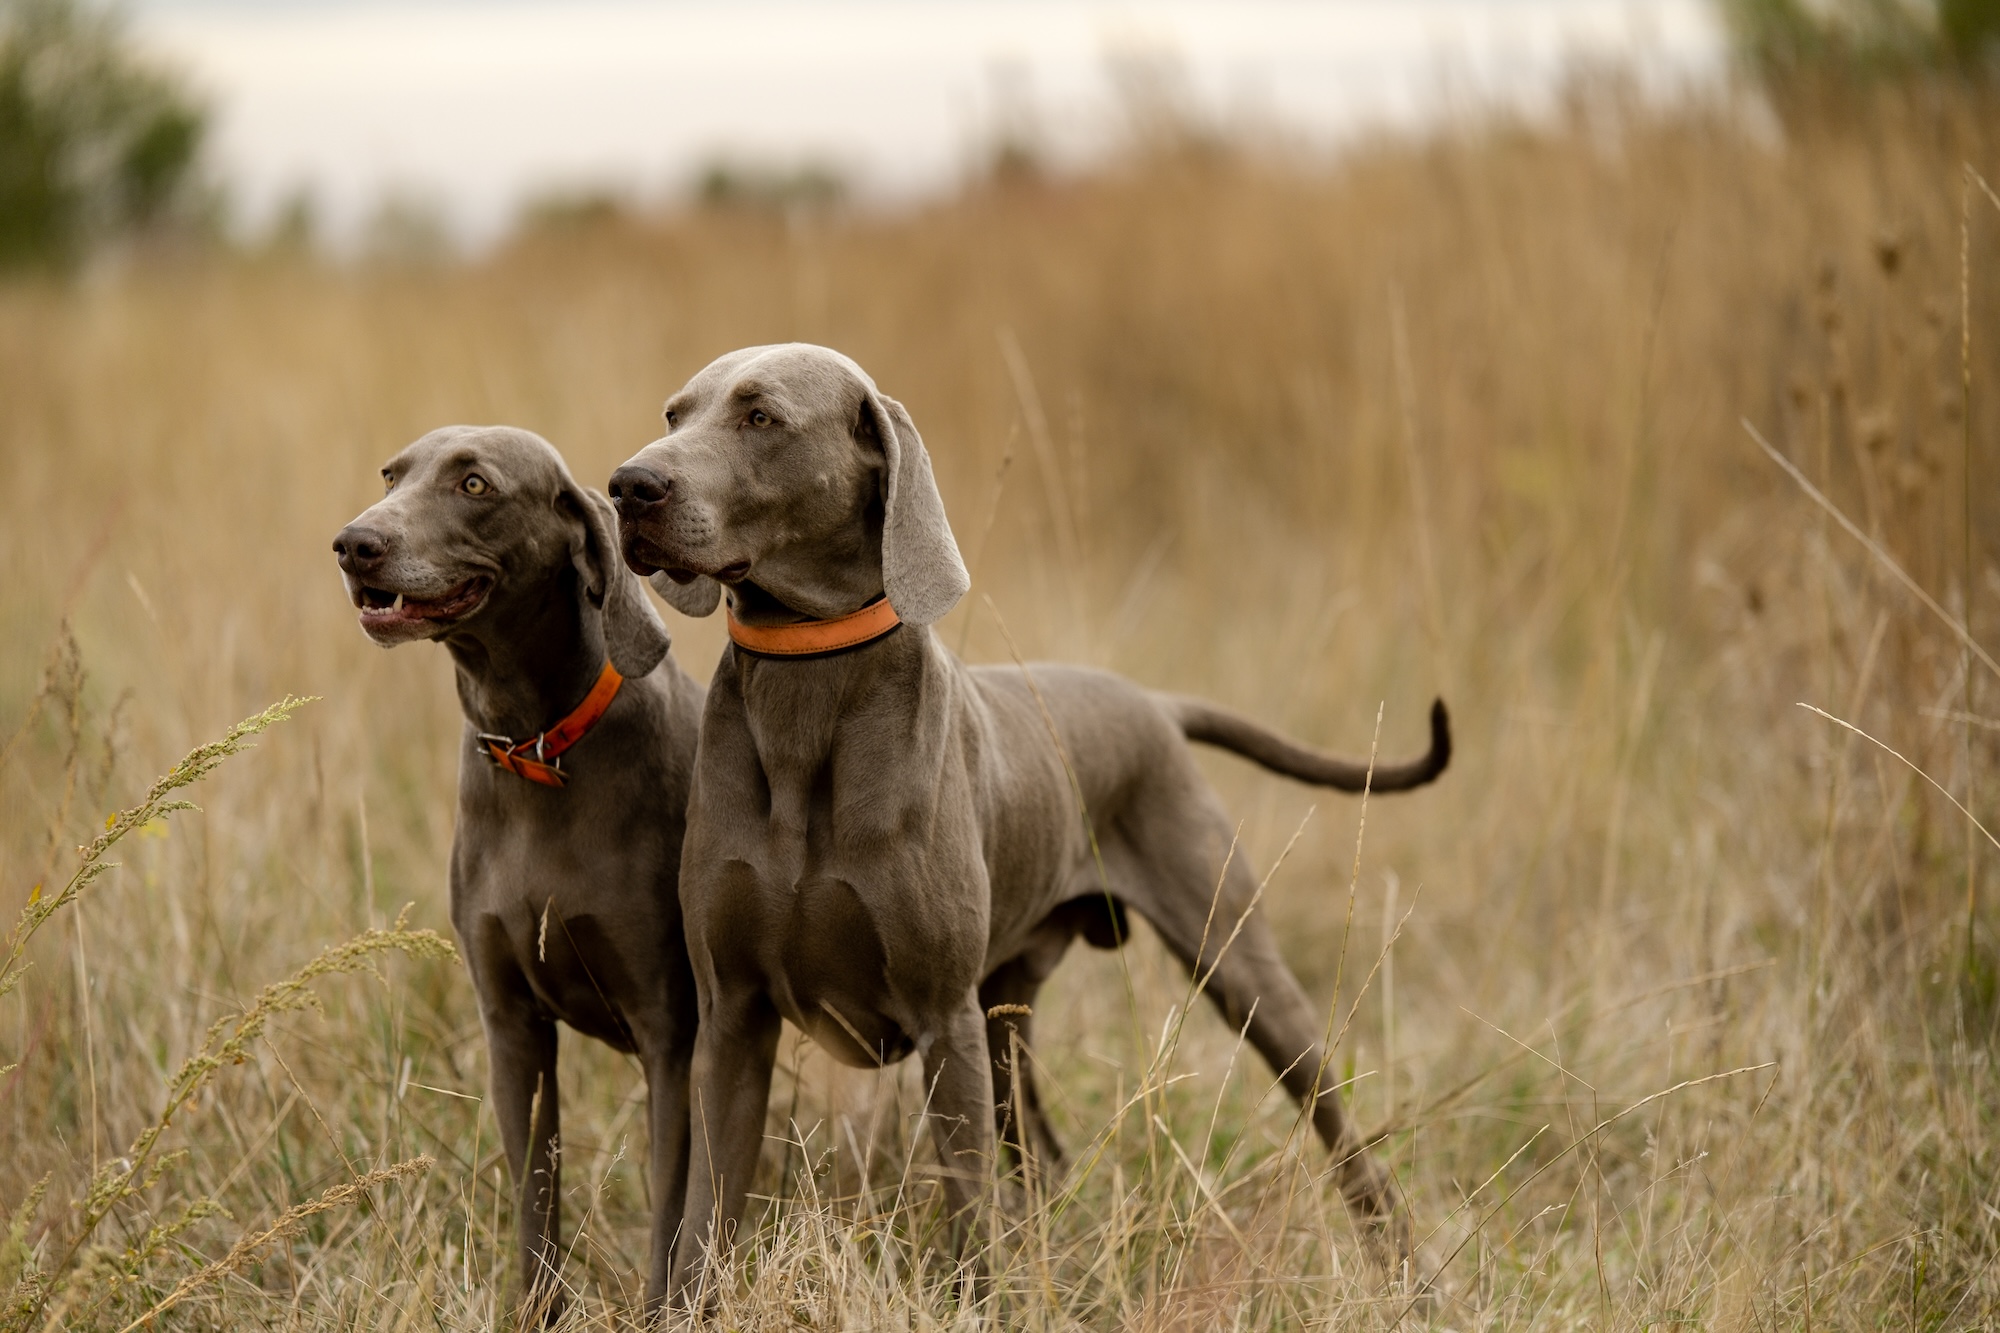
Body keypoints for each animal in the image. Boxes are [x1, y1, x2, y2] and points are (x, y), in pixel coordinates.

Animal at [328, 426, 704, 1304]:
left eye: (474, 484)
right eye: (391, 474)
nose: (355, 544)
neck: (537, 749)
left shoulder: (669, 1029)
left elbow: (669, 1211)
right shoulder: (512, 1025)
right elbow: (536, 1196)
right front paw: (537, 1309)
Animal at [608, 342, 1456, 1296]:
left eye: (760, 416)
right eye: (676, 413)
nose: (628, 484)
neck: (808, 684)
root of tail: (1154, 703)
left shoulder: (941, 1017)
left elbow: (968, 1206)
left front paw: (978, 1299)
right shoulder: (733, 1017)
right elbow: (704, 1216)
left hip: (1235, 965)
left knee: (1340, 1128)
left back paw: (1409, 1268)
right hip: (1006, 1013)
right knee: (1042, 1151)